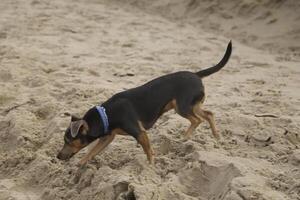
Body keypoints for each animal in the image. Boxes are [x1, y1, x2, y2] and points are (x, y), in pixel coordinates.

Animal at [57, 41, 233, 166]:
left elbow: (148, 150)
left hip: (182, 107)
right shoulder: (107, 137)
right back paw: (216, 136)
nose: (57, 156)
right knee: (209, 114)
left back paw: (185, 137)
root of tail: (197, 75)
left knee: (198, 119)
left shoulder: (139, 133)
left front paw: (150, 165)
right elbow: (92, 152)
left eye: (68, 141)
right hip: (191, 105)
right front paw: (81, 164)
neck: (106, 115)